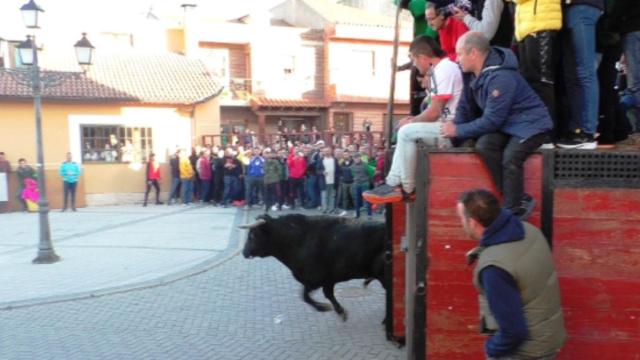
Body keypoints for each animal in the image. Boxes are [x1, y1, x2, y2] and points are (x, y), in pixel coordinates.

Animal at [241, 214, 388, 320]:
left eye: (253, 235)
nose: (244, 252)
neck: (299, 240)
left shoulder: (315, 280)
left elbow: (305, 297)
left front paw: (325, 308)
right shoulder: (327, 281)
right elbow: (325, 295)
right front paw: (339, 311)